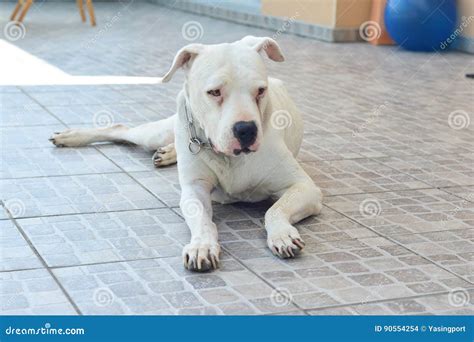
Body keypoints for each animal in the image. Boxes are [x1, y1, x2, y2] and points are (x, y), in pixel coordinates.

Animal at [50, 36, 324, 272]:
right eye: (214, 92)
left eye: (260, 91)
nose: (246, 129)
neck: (228, 158)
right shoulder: (194, 190)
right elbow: (202, 220)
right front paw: (202, 245)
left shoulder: (304, 187)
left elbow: (275, 210)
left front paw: (282, 234)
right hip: (157, 132)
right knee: (120, 129)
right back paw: (72, 136)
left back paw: (168, 152)